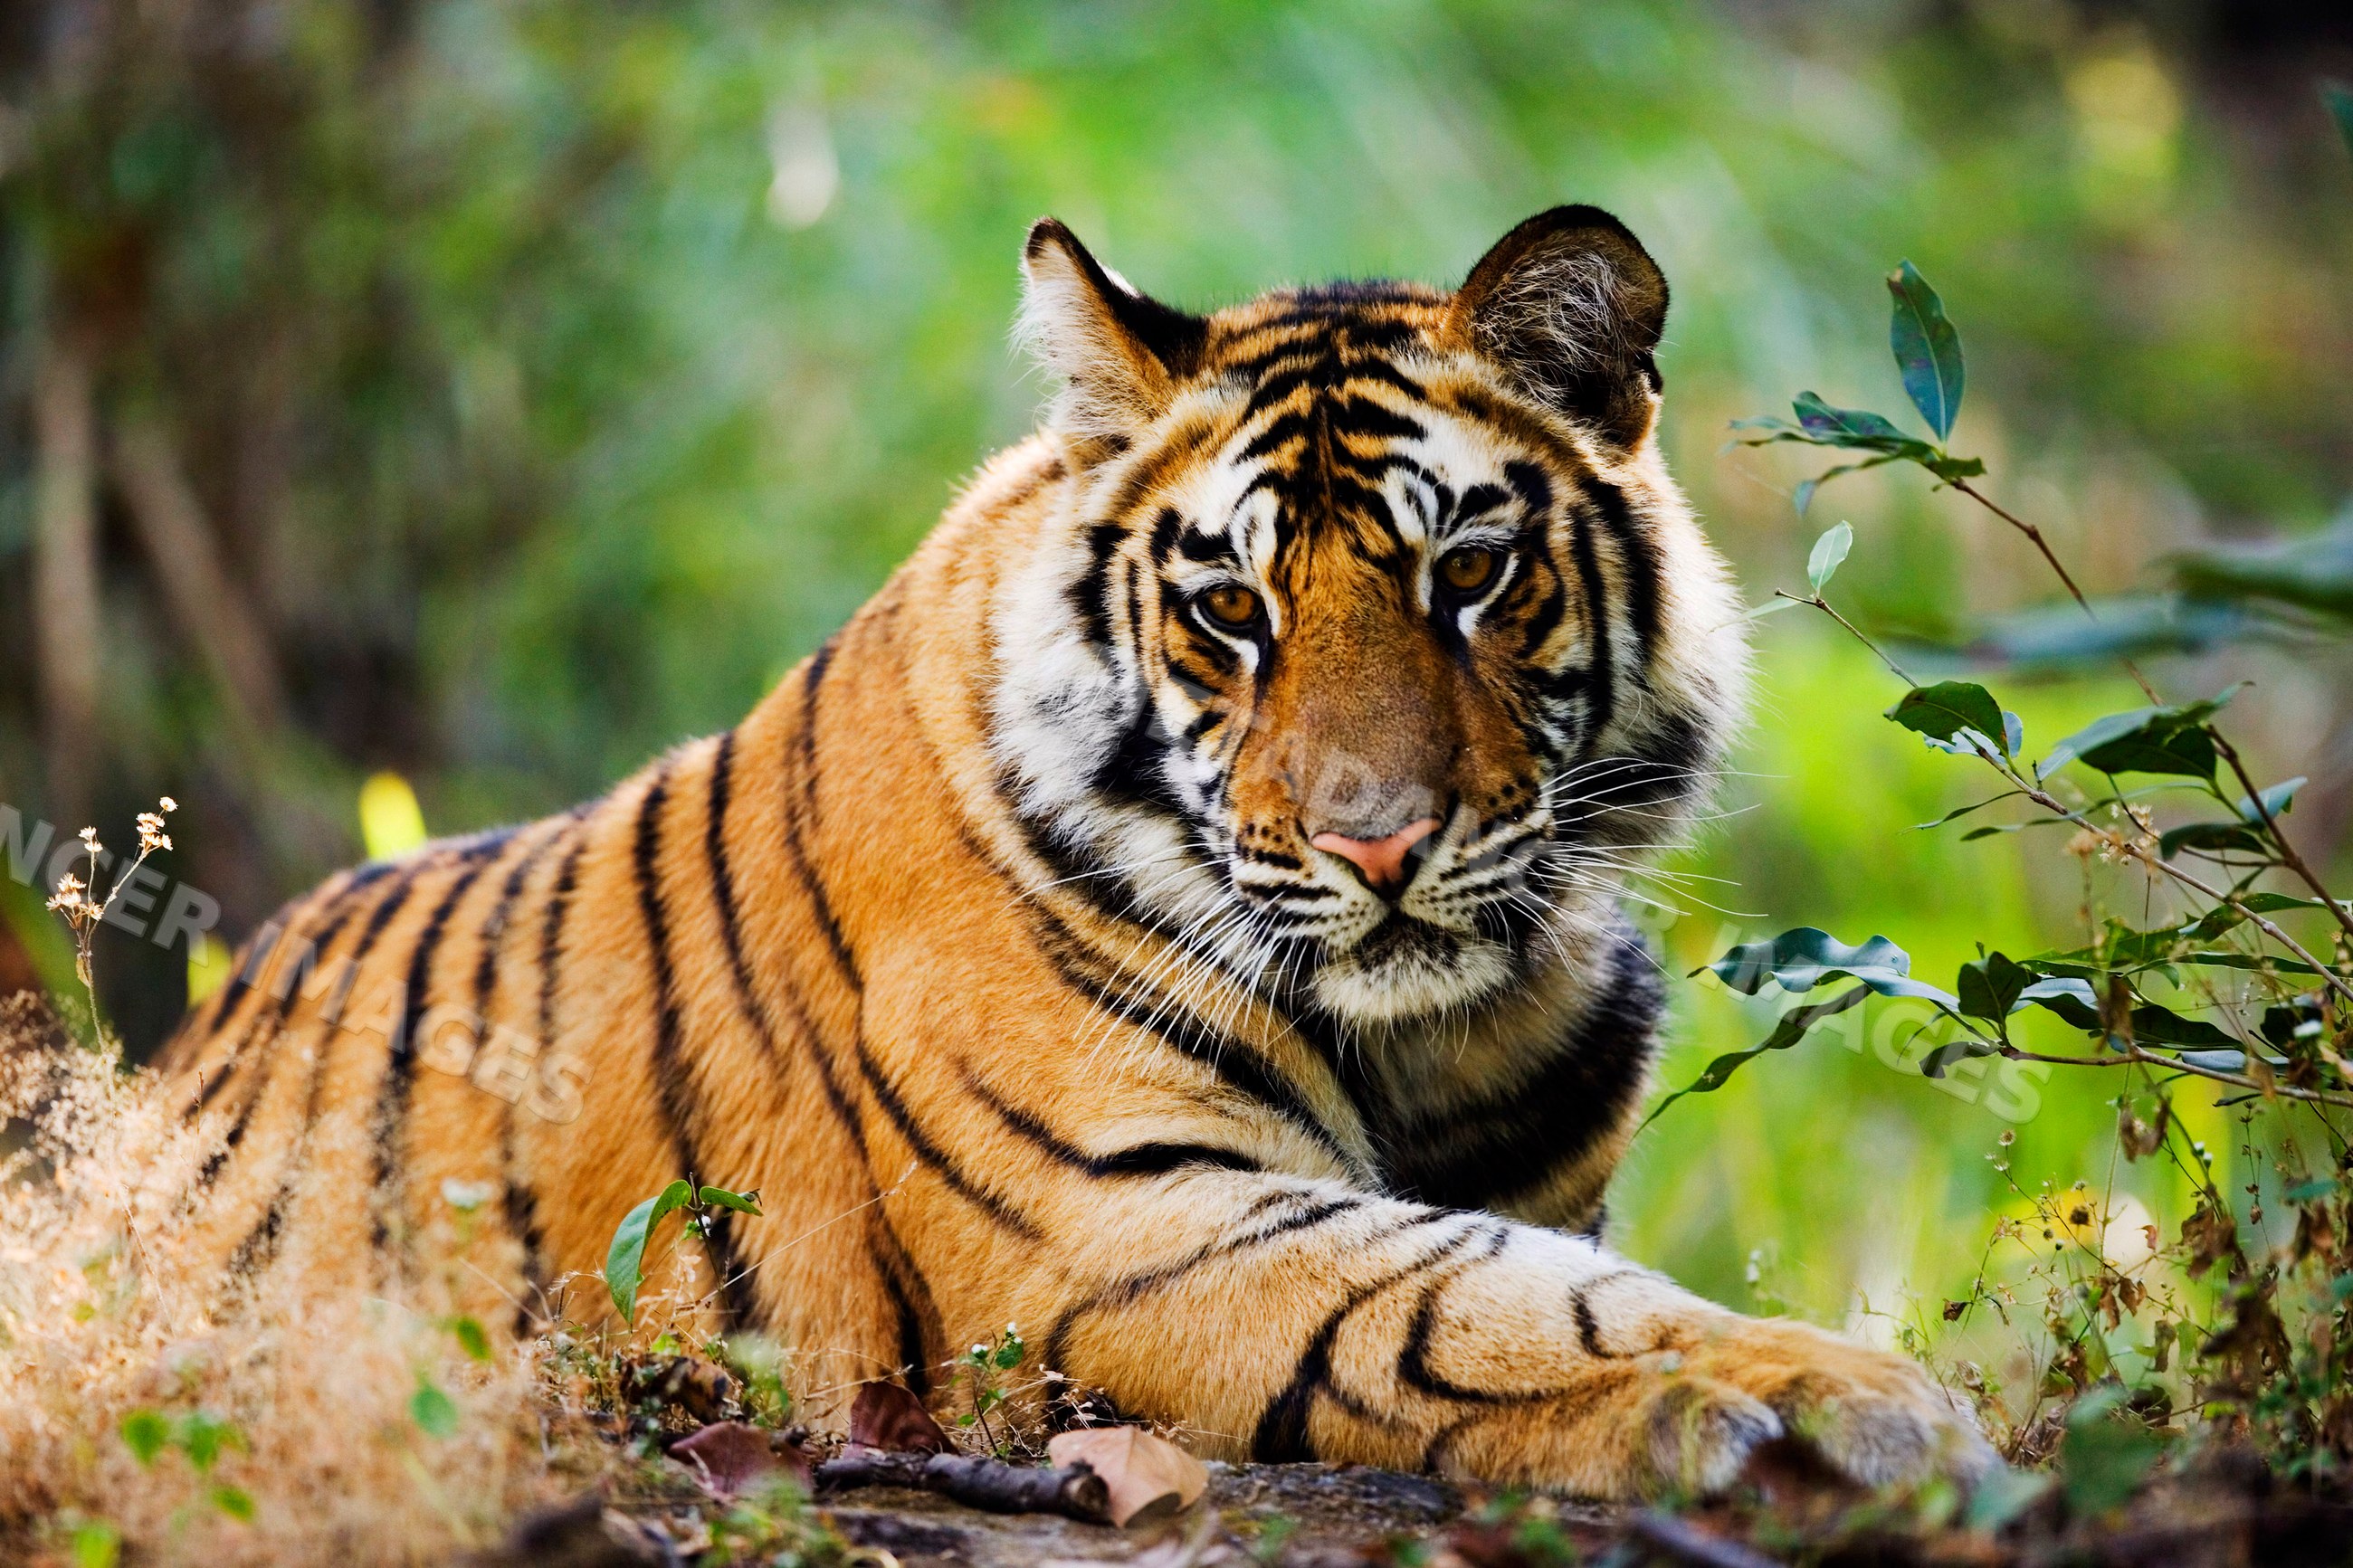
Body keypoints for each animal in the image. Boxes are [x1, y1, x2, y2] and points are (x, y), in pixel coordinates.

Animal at [161, 205, 1992, 1498]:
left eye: (1468, 572)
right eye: (1231, 609)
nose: (1380, 841)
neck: (1440, 1039)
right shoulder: (1122, 1222)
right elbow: (1489, 1302)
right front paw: (1845, 1396)